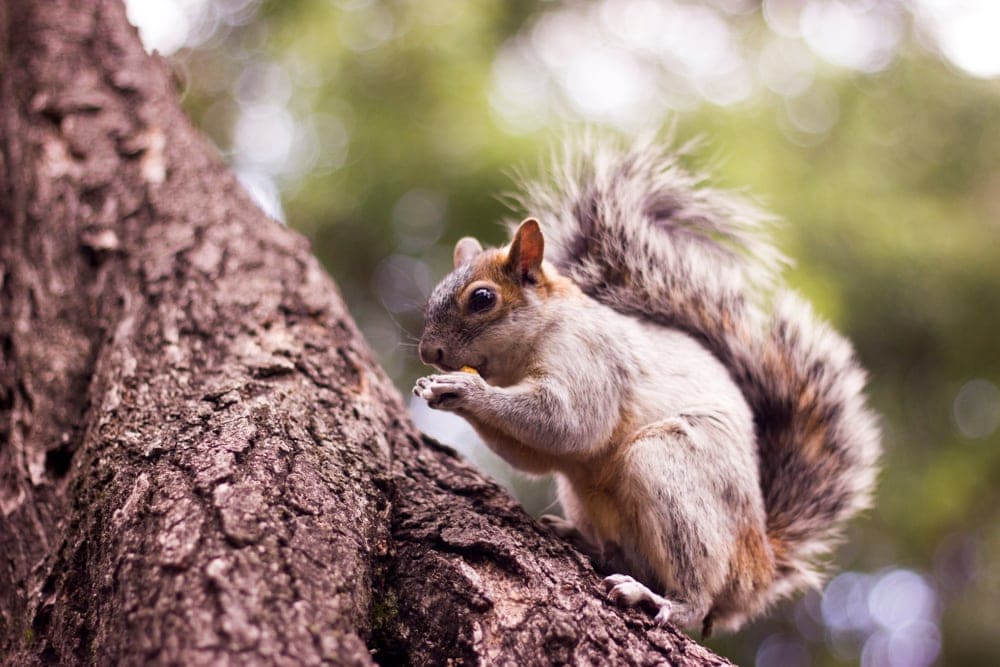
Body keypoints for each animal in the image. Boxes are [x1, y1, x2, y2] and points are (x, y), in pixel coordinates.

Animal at [412, 135, 880, 636]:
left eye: (483, 298)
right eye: (434, 294)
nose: (428, 352)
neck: (533, 340)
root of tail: (757, 570)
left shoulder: (591, 359)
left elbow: (570, 423)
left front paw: (464, 392)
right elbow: (539, 454)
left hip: (667, 464)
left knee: (696, 591)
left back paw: (659, 599)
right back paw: (587, 541)